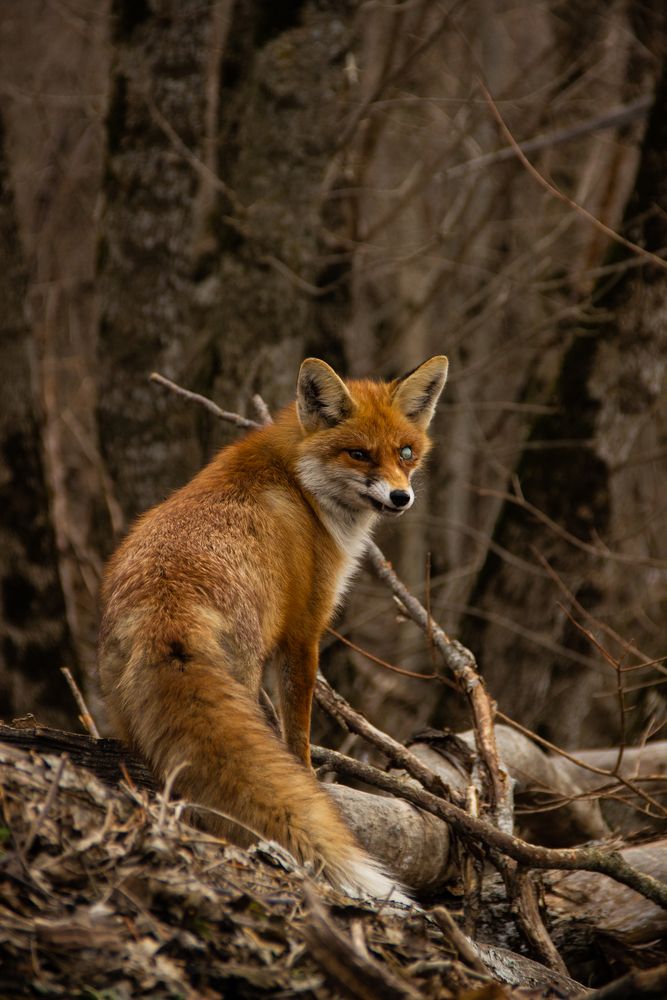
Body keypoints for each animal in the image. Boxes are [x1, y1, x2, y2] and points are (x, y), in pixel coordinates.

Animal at [98, 355, 448, 900]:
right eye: (359, 454)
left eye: (406, 452)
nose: (400, 497)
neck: (301, 485)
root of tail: (167, 604)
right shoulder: (304, 630)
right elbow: (297, 734)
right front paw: (308, 781)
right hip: (243, 672)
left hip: (126, 700)